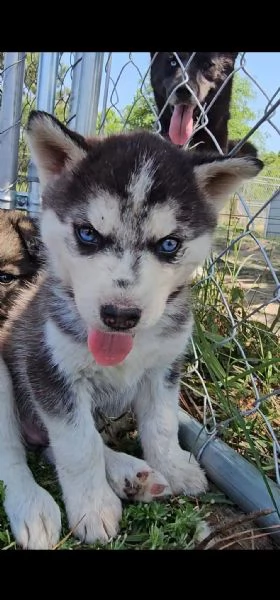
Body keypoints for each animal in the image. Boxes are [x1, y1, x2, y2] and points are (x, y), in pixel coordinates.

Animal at [0, 111, 262, 548]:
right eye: (88, 233)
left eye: (169, 244)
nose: (119, 315)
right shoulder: (48, 368)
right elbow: (78, 444)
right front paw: (92, 508)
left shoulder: (165, 366)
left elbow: (162, 422)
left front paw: (171, 465)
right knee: (12, 452)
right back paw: (32, 506)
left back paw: (131, 474)